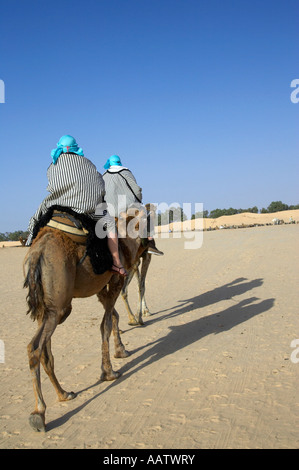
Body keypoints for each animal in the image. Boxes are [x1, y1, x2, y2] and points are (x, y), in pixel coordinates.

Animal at [22, 211, 149, 432]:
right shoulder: (116, 280)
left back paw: (64, 394)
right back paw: (39, 413)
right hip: (58, 305)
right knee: (35, 347)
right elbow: (105, 324)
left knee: (46, 351)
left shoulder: (102, 288)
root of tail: (37, 252)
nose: (149, 243)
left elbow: (112, 317)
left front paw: (121, 351)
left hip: (46, 307)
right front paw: (109, 372)